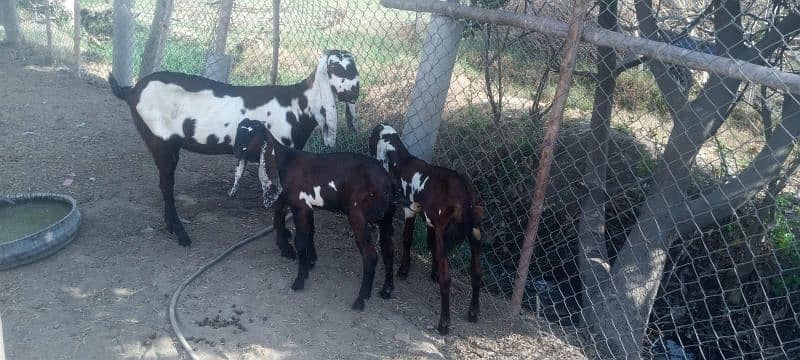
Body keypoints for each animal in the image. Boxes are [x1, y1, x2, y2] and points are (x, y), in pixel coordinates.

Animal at [109, 50, 362, 248]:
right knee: (166, 185)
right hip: (160, 140)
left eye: (354, 67)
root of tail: (132, 90)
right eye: (335, 67)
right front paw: (283, 240)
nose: (355, 91)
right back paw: (180, 233)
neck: (296, 105)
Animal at [238, 119, 400, 310]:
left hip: (358, 214)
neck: (285, 161)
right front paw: (311, 263)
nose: (235, 151)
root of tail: (388, 181)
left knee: (370, 255)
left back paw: (361, 299)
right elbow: (310, 233)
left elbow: (300, 242)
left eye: (250, 134)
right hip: (387, 216)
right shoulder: (308, 207)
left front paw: (299, 281)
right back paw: (386, 290)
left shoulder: (300, 206)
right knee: (388, 250)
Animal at [368, 124, 484, 334]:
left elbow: (407, 239)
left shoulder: (410, 209)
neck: (402, 161)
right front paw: (433, 272)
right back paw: (473, 312)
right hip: (475, 235)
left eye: (373, 136)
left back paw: (444, 323)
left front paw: (403, 270)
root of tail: (465, 200)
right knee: (477, 274)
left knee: (447, 280)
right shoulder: (430, 222)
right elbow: (430, 246)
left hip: (446, 235)